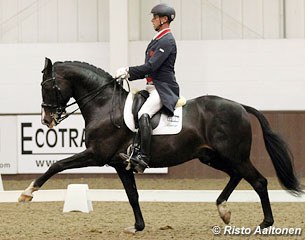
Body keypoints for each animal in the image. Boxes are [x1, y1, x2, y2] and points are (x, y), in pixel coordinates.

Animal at [19, 57, 302, 232]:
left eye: (46, 85)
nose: (46, 120)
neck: (103, 105)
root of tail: (240, 106)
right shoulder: (119, 164)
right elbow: (132, 195)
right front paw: (137, 227)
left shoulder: (96, 155)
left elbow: (57, 164)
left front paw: (28, 192)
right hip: (212, 156)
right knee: (236, 176)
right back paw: (224, 210)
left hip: (234, 155)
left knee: (259, 181)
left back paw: (265, 223)